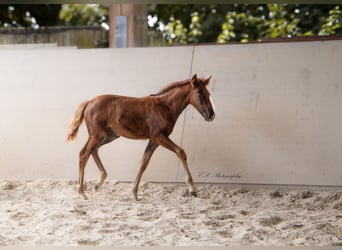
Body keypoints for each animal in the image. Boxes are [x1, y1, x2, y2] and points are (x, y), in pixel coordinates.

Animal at [66, 73, 215, 200]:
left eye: (208, 93)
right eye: (200, 93)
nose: (211, 115)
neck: (165, 107)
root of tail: (90, 101)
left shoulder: (154, 140)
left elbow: (144, 163)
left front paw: (134, 193)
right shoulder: (159, 136)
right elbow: (181, 151)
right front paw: (192, 189)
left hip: (110, 135)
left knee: (93, 150)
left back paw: (98, 183)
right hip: (97, 135)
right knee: (84, 153)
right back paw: (81, 192)